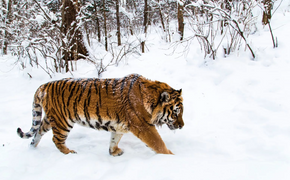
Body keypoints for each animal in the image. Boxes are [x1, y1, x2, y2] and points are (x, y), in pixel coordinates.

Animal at [17, 74, 184, 155]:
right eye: (176, 112)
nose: (182, 126)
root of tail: (44, 85)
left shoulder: (119, 126)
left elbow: (114, 140)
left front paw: (114, 152)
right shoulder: (144, 126)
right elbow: (158, 143)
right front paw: (171, 157)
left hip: (49, 119)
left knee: (37, 132)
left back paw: (32, 148)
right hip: (62, 122)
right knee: (56, 139)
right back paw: (69, 152)